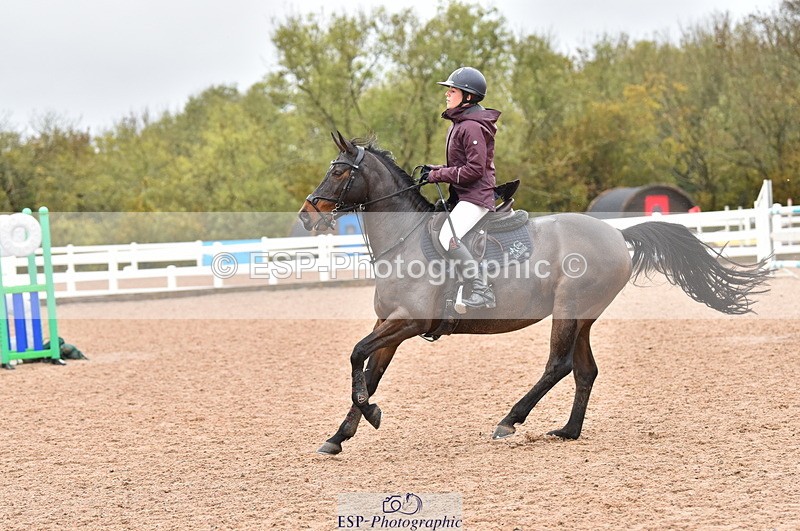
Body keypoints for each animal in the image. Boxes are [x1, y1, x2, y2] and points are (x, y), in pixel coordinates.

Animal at [298, 132, 771, 455]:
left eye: (338, 171)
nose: (307, 215)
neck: (405, 241)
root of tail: (617, 234)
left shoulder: (409, 322)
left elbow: (357, 356)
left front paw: (366, 415)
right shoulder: (389, 323)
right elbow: (369, 371)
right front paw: (340, 435)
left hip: (568, 310)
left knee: (558, 365)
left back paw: (510, 420)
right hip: (583, 317)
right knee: (585, 370)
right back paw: (568, 431)